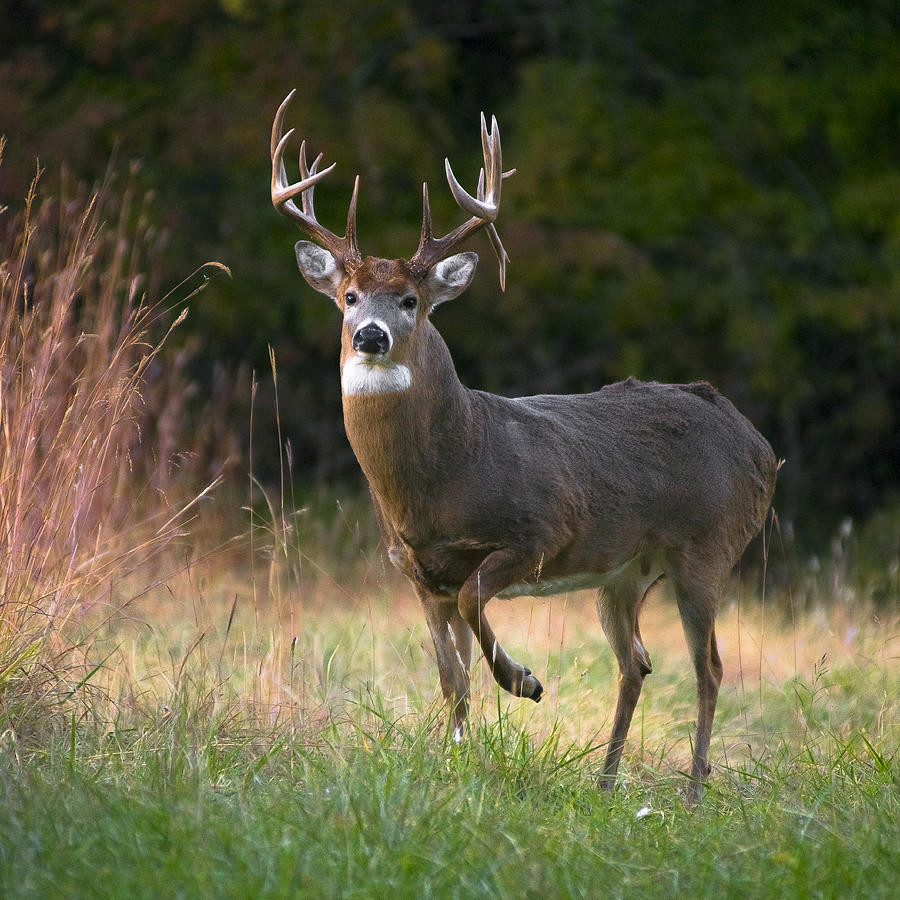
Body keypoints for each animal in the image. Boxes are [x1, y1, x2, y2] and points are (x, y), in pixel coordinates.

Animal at [270, 88, 776, 800]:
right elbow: (450, 677)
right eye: (348, 295)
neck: (446, 473)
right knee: (637, 663)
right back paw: (606, 782)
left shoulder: (539, 531)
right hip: (625, 571)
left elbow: (475, 603)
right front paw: (455, 757)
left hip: (708, 547)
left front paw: (524, 680)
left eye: (410, 299)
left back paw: (693, 790)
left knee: (708, 668)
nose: (370, 335)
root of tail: (759, 444)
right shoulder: (417, 572)